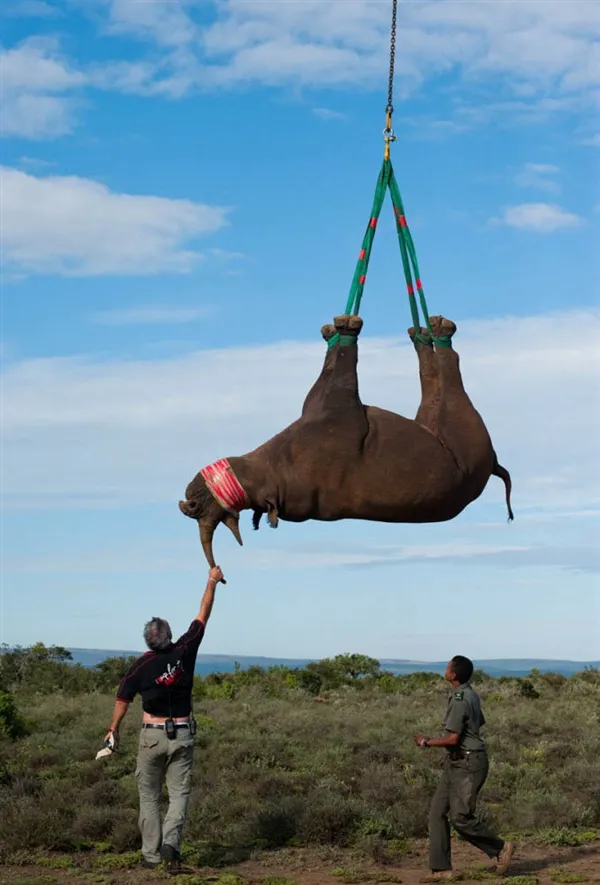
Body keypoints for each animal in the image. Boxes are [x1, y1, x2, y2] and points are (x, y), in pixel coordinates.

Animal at [178, 314, 510, 568]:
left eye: (204, 506)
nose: (190, 504)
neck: (274, 466)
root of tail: (494, 464)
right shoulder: (339, 410)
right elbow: (342, 367)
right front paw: (346, 330)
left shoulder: (324, 407)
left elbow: (331, 369)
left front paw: (334, 332)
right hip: (464, 434)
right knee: (445, 372)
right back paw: (437, 333)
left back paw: (425, 333)